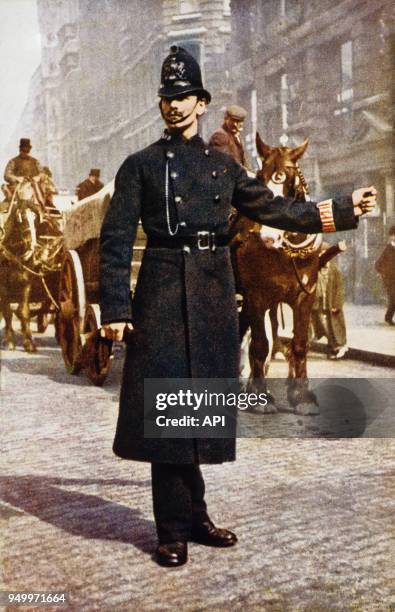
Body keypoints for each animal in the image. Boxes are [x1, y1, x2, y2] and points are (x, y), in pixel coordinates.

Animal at [232, 131, 338, 414]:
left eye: (288, 179)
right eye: (259, 178)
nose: (268, 236)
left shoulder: (305, 296)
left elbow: (299, 344)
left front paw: (301, 396)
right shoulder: (256, 295)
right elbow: (260, 344)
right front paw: (261, 397)